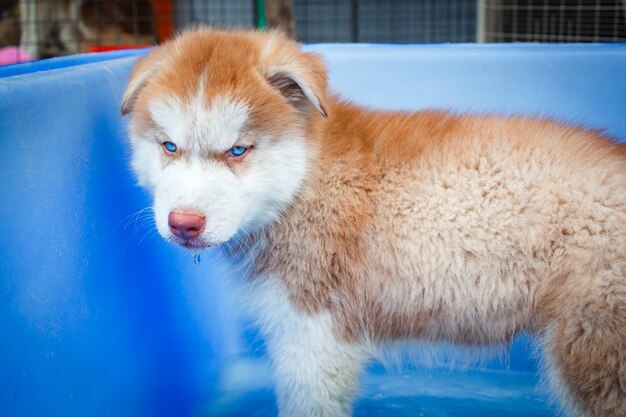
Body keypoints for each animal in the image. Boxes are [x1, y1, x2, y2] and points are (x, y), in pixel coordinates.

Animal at [122, 28, 624, 416]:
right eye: (169, 146)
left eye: (238, 150)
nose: (184, 223)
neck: (305, 179)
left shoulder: (315, 334)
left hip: (595, 349)